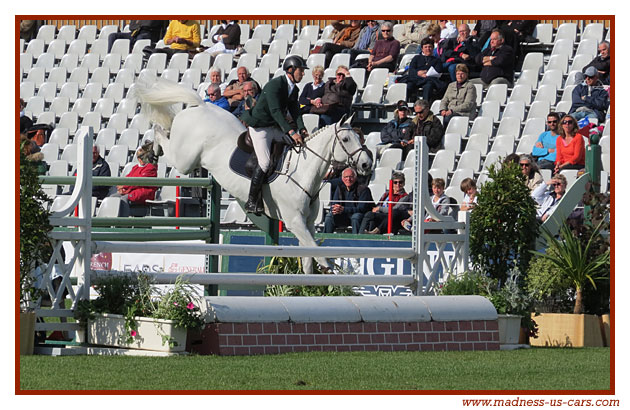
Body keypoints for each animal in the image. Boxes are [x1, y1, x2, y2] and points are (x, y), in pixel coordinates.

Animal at [131, 79, 372, 274]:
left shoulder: (309, 224)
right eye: (346, 139)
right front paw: (331, 269)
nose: (366, 164)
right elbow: (316, 253)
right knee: (162, 134)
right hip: (185, 160)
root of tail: (201, 105)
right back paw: (150, 149)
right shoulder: (295, 222)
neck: (304, 172)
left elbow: (308, 261)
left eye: (358, 136)